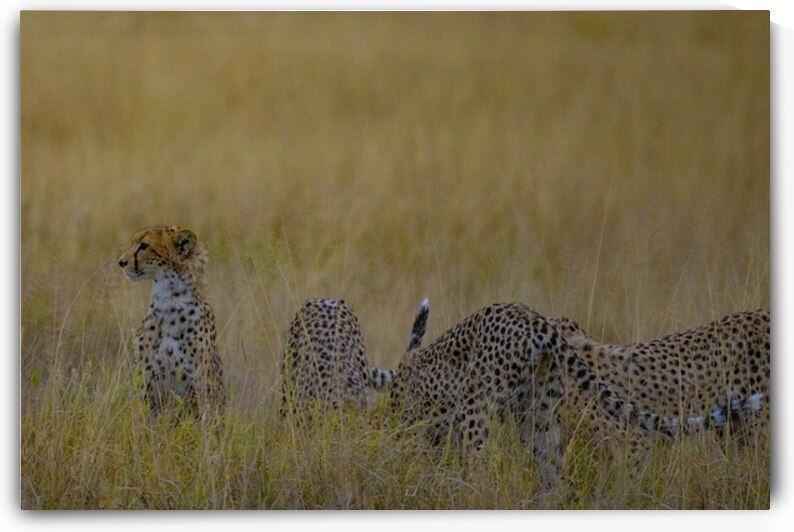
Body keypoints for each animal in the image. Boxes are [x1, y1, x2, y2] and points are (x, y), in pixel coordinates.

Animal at [118, 225, 225, 424]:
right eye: (133, 242)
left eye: (144, 245)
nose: (121, 262)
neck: (169, 298)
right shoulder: (148, 381)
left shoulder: (196, 383)